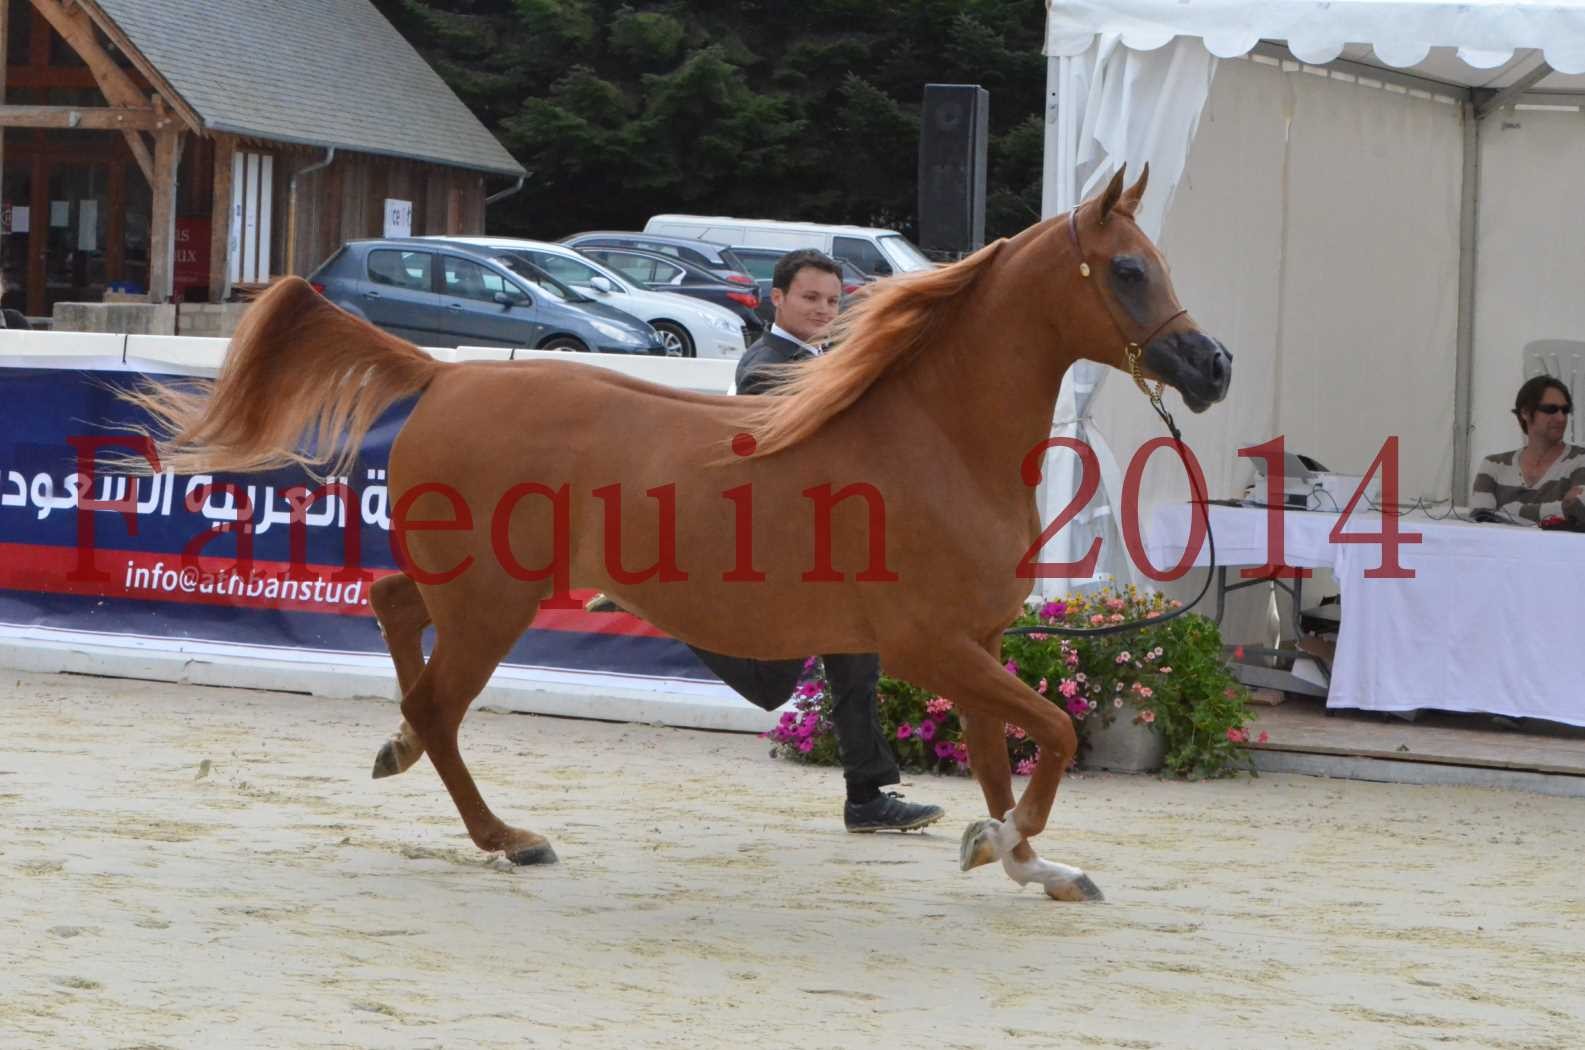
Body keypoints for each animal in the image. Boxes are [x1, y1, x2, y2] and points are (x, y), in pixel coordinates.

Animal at [129, 168, 1229, 900]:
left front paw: (1024, 858)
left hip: (473, 583)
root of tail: (445, 373)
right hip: (492, 602)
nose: (1210, 366)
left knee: (395, 611)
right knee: (438, 704)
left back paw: (397, 749)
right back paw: (507, 835)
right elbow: (1054, 734)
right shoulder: (930, 644)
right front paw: (1010, 844)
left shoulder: (979, 643)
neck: (937, 437)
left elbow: (1005, 753)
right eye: (1126, 270)